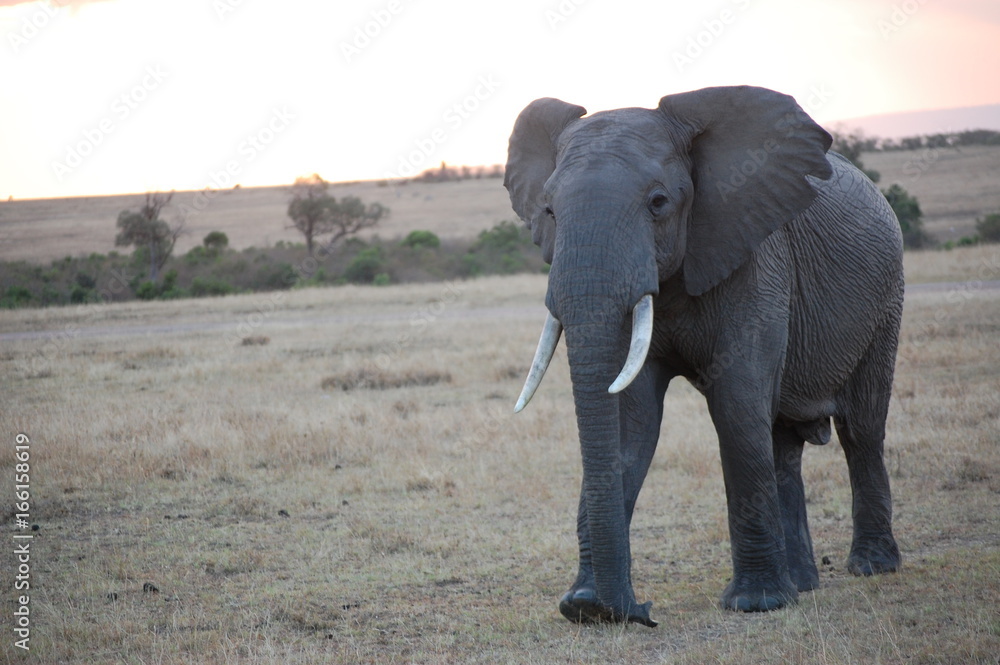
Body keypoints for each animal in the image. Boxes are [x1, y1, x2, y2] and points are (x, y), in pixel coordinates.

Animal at [504, 86, 903, 626]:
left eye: (658, 203)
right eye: (547, 210)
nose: (640, 611)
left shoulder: (757, 257)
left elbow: (735, 403)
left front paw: (755, 605)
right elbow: (630, 419)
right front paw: (585, 606)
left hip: (887, 298)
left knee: (861, 429)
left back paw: (869, 568)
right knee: (782, 442)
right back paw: (802, 585)